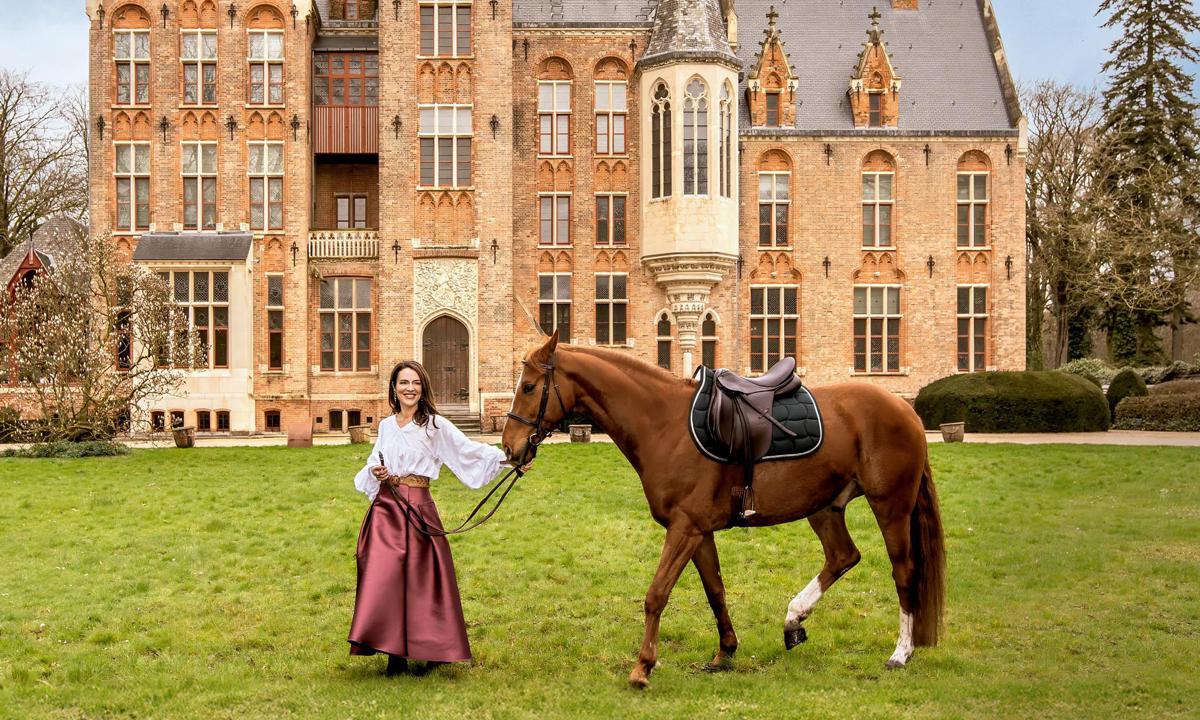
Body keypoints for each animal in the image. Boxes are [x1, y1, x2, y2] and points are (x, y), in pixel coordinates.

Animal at [501, 331, 940, 686]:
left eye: (529, 386)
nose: (510, 446)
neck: (664, 424)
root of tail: (906, 410)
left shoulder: (685, 528)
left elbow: (657, 594)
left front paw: (643, 666)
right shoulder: (699, 531)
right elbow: (715, 591)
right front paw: (725, 650)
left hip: (890, 507)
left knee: (903, 572)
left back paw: (901, 652)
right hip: (825, 508)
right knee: (843, 556)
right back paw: (793, 618)